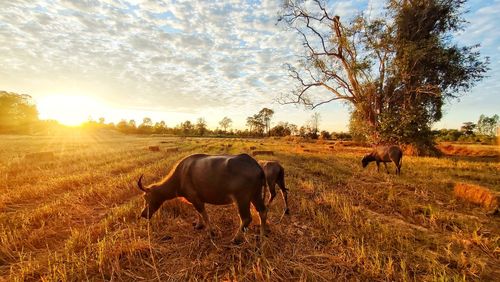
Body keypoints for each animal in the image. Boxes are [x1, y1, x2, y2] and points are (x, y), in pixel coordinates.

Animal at [137, 153, 270, 243]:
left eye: (146, 197)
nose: (143, 214)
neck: (180, 176)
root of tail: (256, 165)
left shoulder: (196, 199)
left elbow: (204, 214)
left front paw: (210, 232)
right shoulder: (196, 200)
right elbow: (199, 213)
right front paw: (198, 225)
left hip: (242, 199)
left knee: (246, 218)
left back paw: (236, 238)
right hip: (255, 195)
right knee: (263, 211)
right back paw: (262, 235)